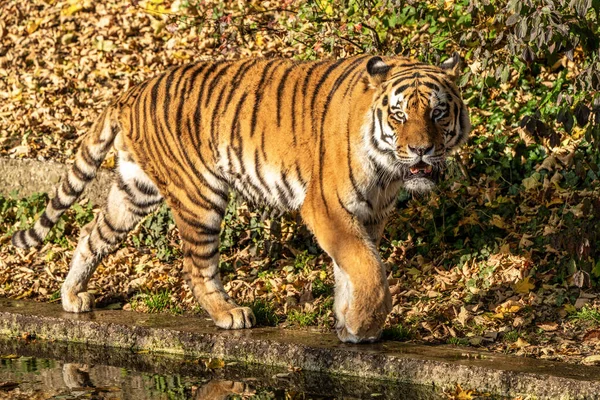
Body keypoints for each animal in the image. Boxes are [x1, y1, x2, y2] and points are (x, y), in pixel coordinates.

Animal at [9, 54, 468, 344]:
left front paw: (348, 323)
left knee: (91, 234)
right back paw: (228, 314)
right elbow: (370, 271)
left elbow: (351, 270)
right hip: (199, 195)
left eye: (438, 112)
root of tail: (134, 89)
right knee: (196, 266)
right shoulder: (327, 208)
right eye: (399, 114)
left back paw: (72, 297)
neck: (386, 169)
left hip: (135, 191)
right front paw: (364, 324)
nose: (422, 150)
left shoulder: (368, 215)